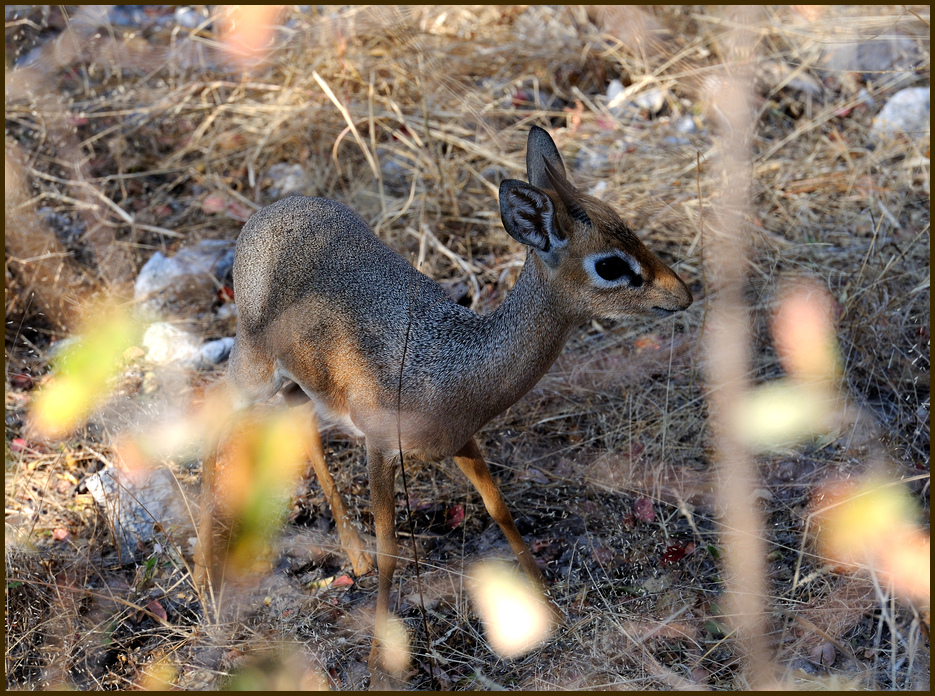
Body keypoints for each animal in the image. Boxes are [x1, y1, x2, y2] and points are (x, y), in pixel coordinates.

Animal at [196, 125, 696, 684]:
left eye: (629, 228)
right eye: (609, 264)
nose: (683, 294)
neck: (453, 365)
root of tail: (267, 212)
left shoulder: (460, 440)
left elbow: (500, 510)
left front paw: (552, 607)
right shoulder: (379, 448)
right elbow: (393, 551)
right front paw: (378, 662)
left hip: (300, 385)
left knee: (299, 424)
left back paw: (350, 557)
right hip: (253, 369)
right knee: (212, 415)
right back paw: (203, 581)